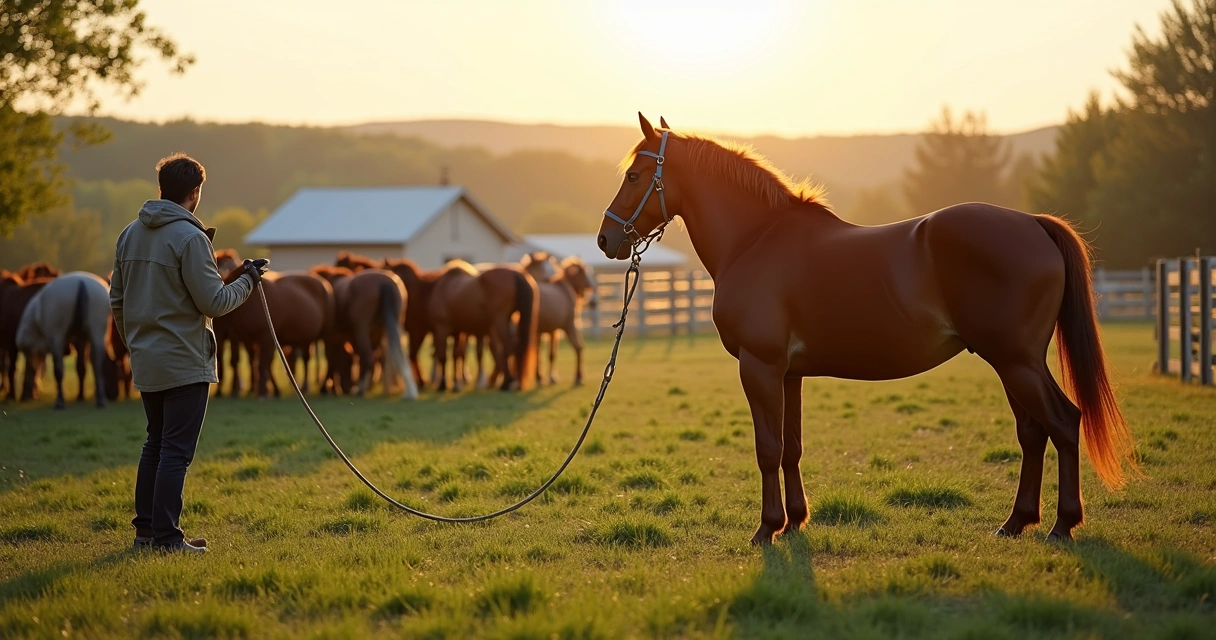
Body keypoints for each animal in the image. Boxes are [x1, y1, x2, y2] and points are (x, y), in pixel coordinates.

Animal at [15, 272, 111, 409]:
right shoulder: (80, 338)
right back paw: (100, 400)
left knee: (59, 369)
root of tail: (81, 283)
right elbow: (81, 365)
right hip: (97, 323)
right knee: (97, 361)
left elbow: (59, 368)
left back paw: (60, 402)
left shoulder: (54, 337)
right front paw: (80, 397)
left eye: (28, 353)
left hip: (58, 328)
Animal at [311, 265, 417, 399]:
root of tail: (385, 282)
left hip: (361, 329)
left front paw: (326, 388)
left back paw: (360, 389)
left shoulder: (332, 338)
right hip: (389, 325)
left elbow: (332, 359)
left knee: (367, 358)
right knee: (384, 356)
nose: (346, 388)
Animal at [427, 260, 539, 391]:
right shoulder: (458, 332)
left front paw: (442, 384)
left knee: (508, 348)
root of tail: (516, 274)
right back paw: (514, 382)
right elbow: (456, 354)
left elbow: (442, 356)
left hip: (500, 322)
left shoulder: (441, 329)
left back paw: (506, 383)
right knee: (515, 349)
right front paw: (455, 383)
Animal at [520, 251, 597, 386]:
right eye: (584, 274)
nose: (593, 302)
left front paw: (548, 377)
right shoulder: (566, 326)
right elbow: (577, 347)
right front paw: (577, 377)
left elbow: (551, 353)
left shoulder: (551, 330)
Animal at [596, 114, 1136, 545]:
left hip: (1016, 360)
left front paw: (766, 528)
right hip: (1012, 363)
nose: (606, 238)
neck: (756, 239)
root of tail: (1033, 224)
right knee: (1033, 432)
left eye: (635, 174)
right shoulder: (789, 373)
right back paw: (1016, 521)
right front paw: (795, 521)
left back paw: (1062, 525)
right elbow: (791, 447)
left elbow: (768, 449)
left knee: (1062, 422)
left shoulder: (760, 366)